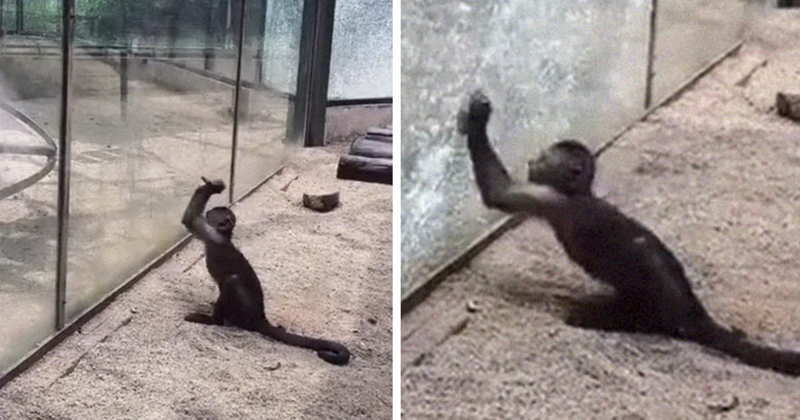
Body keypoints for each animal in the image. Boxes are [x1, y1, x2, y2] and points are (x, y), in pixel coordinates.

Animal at [181, 177, 350, 364]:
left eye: (214, 212)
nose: (211, 210)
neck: (224, 237)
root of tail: (261, 318)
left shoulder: (210, 233)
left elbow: (190, 219)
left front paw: (212, 187)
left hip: (243, 309)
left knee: (231, 281)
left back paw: (213, 320)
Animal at [456, 90, 800, 376]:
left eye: (542, 159)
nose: (530, 161)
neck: (578, 194)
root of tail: (693, 311)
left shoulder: (548, 198)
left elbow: (498, 193)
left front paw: (478, 117)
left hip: (650, 305)